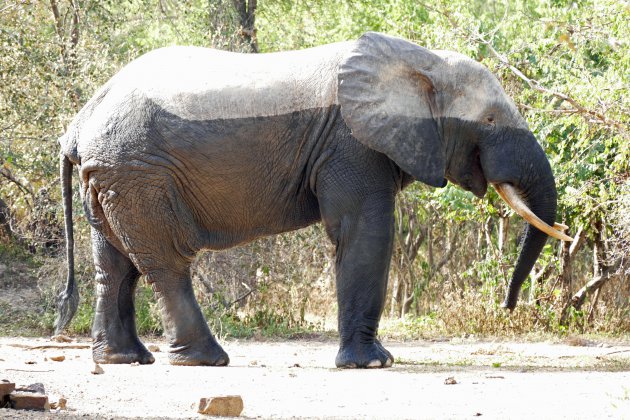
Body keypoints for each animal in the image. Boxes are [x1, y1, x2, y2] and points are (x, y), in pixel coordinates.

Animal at [56, 32, 572, 368]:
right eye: (489, 120)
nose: (509, 306)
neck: (423, 61)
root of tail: (81, 120)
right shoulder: (350, 143)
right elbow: (364, 232)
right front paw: (373, 365)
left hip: (111, 174)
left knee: (116, 263)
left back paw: (125, 358)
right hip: (139, 171)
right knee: (165, 261)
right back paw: (205, 360)